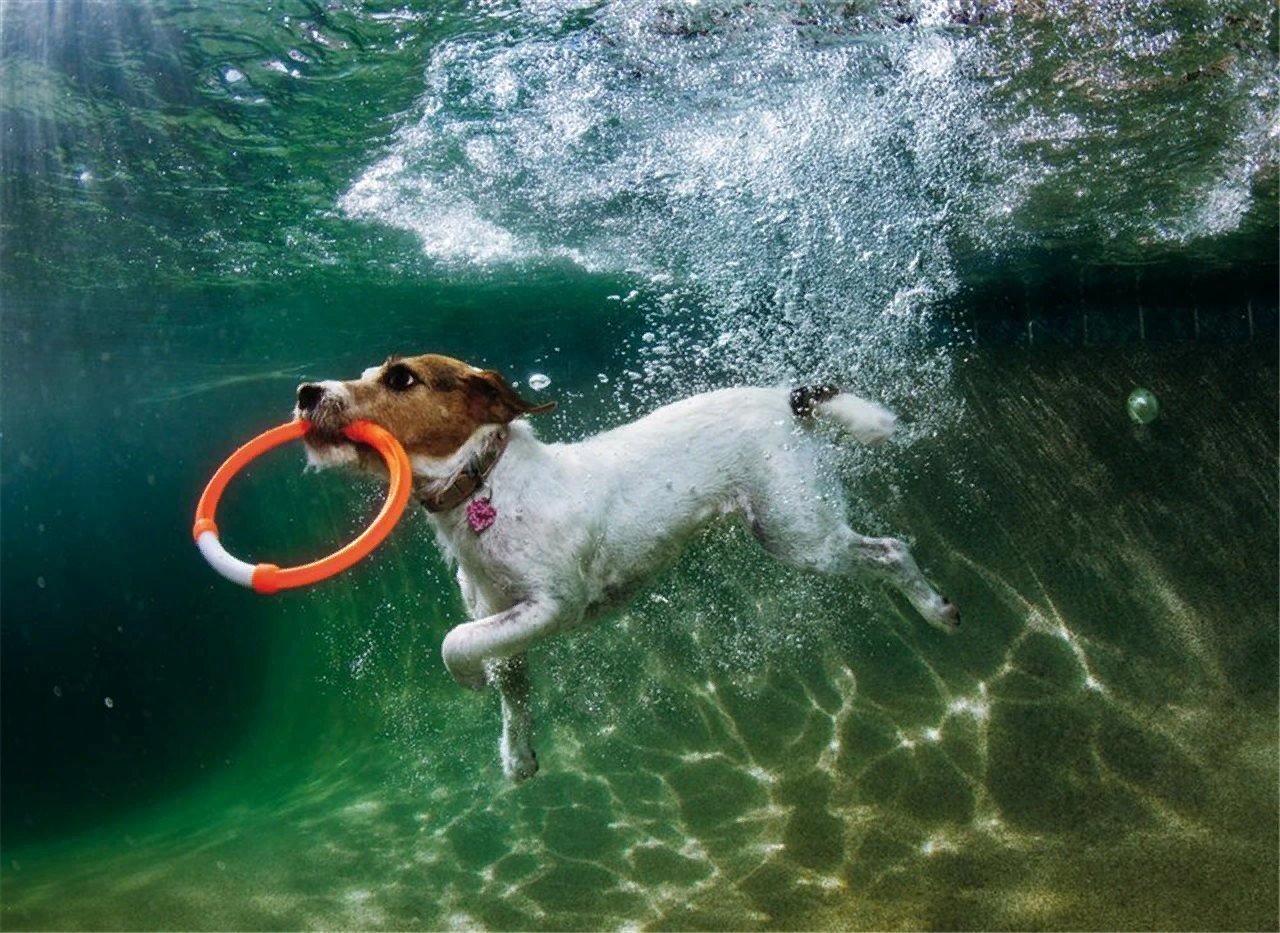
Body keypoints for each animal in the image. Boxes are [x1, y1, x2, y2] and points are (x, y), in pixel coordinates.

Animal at [296, 355, 962, 778]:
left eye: (400, 377)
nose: (305, 393)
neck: (486, 484)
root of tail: (786, 399)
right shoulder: (504, 621)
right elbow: (508, 686)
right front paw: (518, 758)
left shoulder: (553, 605)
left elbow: (455, 642)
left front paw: (467, 681)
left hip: (798, 534)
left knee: (892, 549)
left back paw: (937, 610)